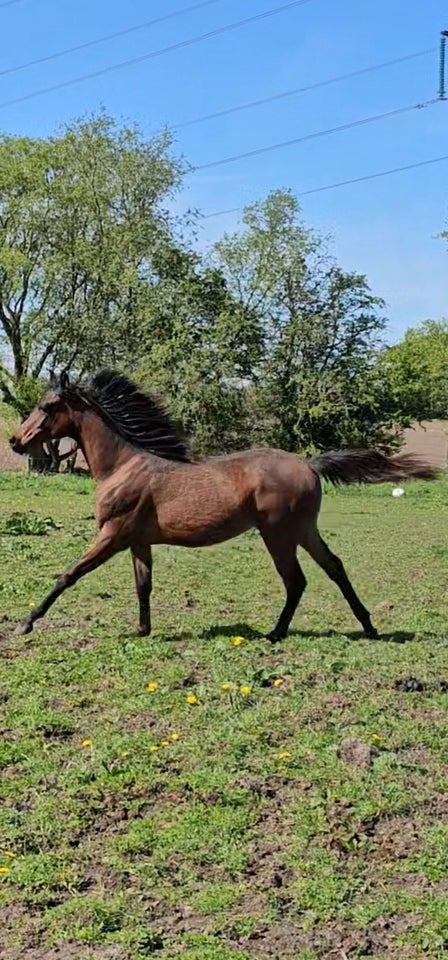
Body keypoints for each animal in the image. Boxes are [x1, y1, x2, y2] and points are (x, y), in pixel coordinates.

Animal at [9, 372, 438, 640]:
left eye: (47, 406)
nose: (15, 441)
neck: (123, 466)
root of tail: (309, 464)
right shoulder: (137, 541)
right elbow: (143, 585)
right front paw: (142, 630)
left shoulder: (112, 535)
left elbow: (68, 575)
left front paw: (25, 624)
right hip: (304, 531)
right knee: (334, 567)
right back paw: (368, 627)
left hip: (279, 534)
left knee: (296, 580)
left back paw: (275, 633)